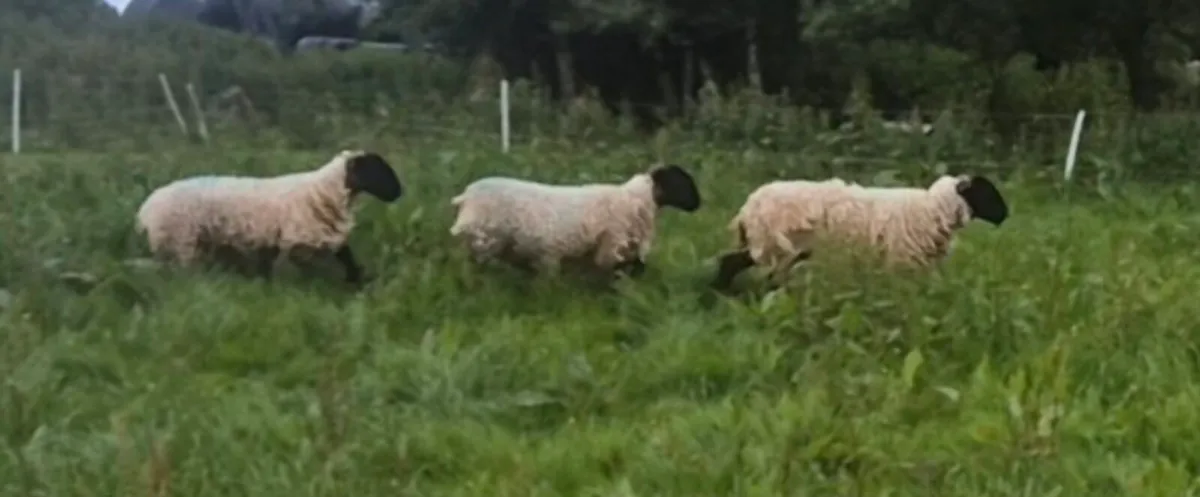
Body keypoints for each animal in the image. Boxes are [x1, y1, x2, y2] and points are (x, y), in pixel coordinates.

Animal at [135, 149, 403, 284]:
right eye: (376, 169)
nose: (399, 192)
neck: (323, 191)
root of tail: (146, 209)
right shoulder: (297, 242)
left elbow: (349, 261)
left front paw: (359, 283)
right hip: (182, 243)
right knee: (181, 273)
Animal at [448, 163, 701, 278]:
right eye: (683, 182)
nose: (699, 203)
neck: (636, 199)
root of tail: (466, 197)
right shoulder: (612, 245)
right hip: (484, 241)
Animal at [711, 174, 1008, 290]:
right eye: (986, 191)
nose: (1006, 214)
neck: (931, 209)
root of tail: (748, 207)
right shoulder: (902, 262)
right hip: (773, 245)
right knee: (737, 266)